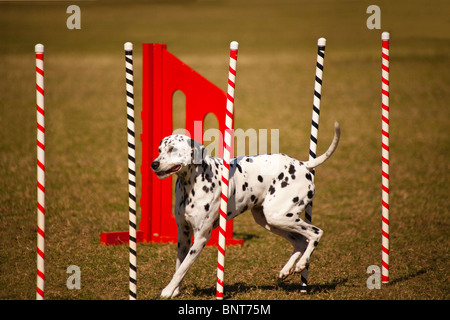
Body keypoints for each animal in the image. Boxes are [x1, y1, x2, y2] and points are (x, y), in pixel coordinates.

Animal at [152, 121, 342, 298]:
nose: (154, 164)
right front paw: (175, 291)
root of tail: (303, 165)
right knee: (300, 242)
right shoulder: (183, 235)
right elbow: (179, 267)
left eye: (172, 149)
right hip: (269, 221)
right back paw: (286, 269)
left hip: (280, 216)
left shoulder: (200, 237)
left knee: (315, 233)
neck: (192, 184)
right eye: (160, 149)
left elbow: (183, 267)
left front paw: (167, 291)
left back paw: (302, 263)